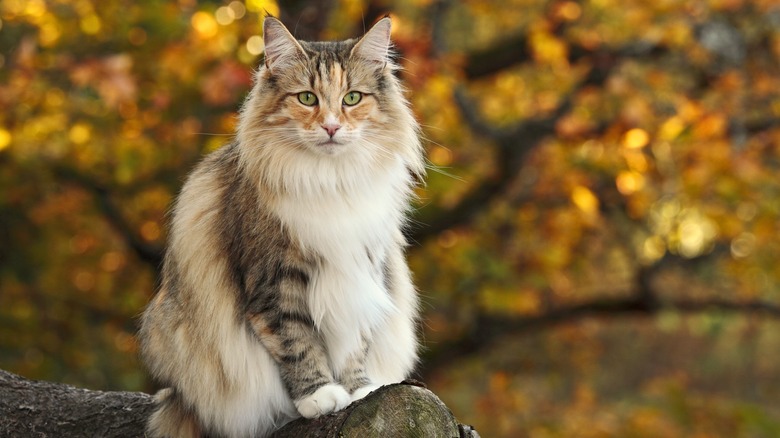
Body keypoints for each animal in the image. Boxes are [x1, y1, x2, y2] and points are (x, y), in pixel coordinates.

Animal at [137, 15, 424, 436]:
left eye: (352, 98)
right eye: (307, 99)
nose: (331, 127)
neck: (330, 180)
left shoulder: (362, 270)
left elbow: (355, 343)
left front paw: (357, 389)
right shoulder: (275, 280)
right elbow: (297, 341)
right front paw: (319, 396)